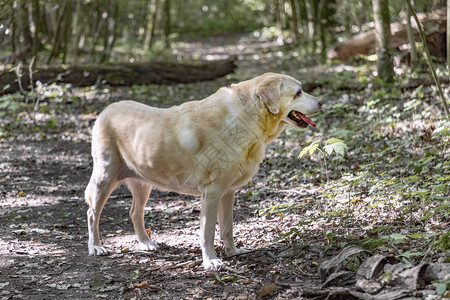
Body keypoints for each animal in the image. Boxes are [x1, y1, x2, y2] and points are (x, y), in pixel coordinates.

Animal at [84, 72, 322, 270]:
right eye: (298, 92)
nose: (321, 102)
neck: (246, 116)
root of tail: (105, 110)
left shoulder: (228, 192)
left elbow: (227, 228)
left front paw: (233, 252)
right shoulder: (212, 192)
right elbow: (207, 232)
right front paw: (211, 261)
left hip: (143, 183)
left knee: (135, 212)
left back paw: (145, 243)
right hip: (104, 178)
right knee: (92, 213)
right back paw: (95, 246)